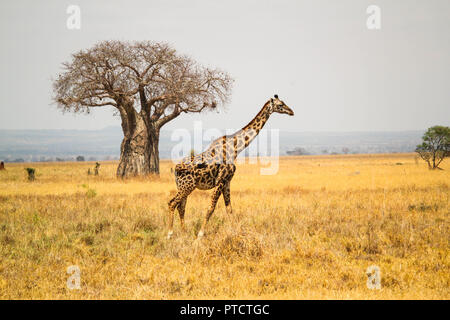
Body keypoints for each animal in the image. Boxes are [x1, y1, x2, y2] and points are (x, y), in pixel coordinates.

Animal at [167, 94, 294, 239]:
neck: (235, 149)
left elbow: (229, 209)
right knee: (172, 203)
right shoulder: (221, 181)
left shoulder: (227, 182)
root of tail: (175, 169)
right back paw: (169, 234)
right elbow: (211, 208)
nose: (291, 111)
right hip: (186, 186)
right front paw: (200, 235)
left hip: (185, 186)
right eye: (280, 105)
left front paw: (237, 233)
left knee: (181, 206)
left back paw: (184, 233)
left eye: (283, 102)